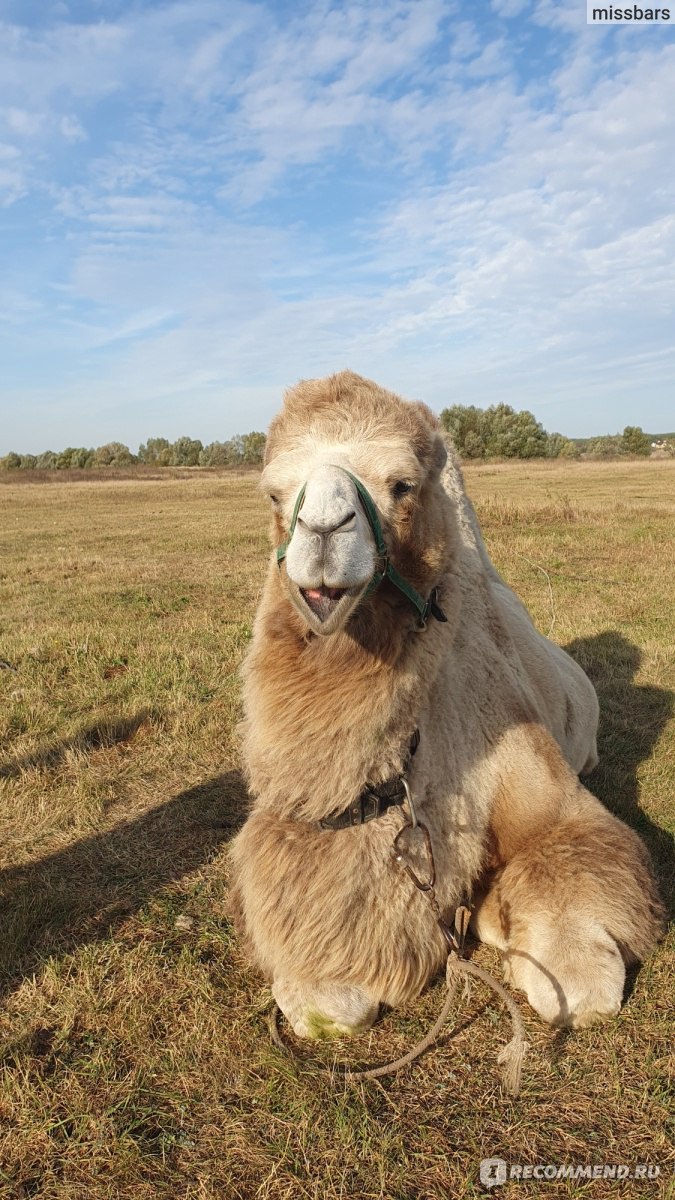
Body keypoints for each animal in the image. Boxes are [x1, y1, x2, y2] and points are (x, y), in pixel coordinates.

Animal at [228, 369, 658, 1036]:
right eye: (274, 495)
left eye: (401, 485)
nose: (323, 531)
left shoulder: (537, 778)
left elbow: (570, 861)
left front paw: (572, 967)